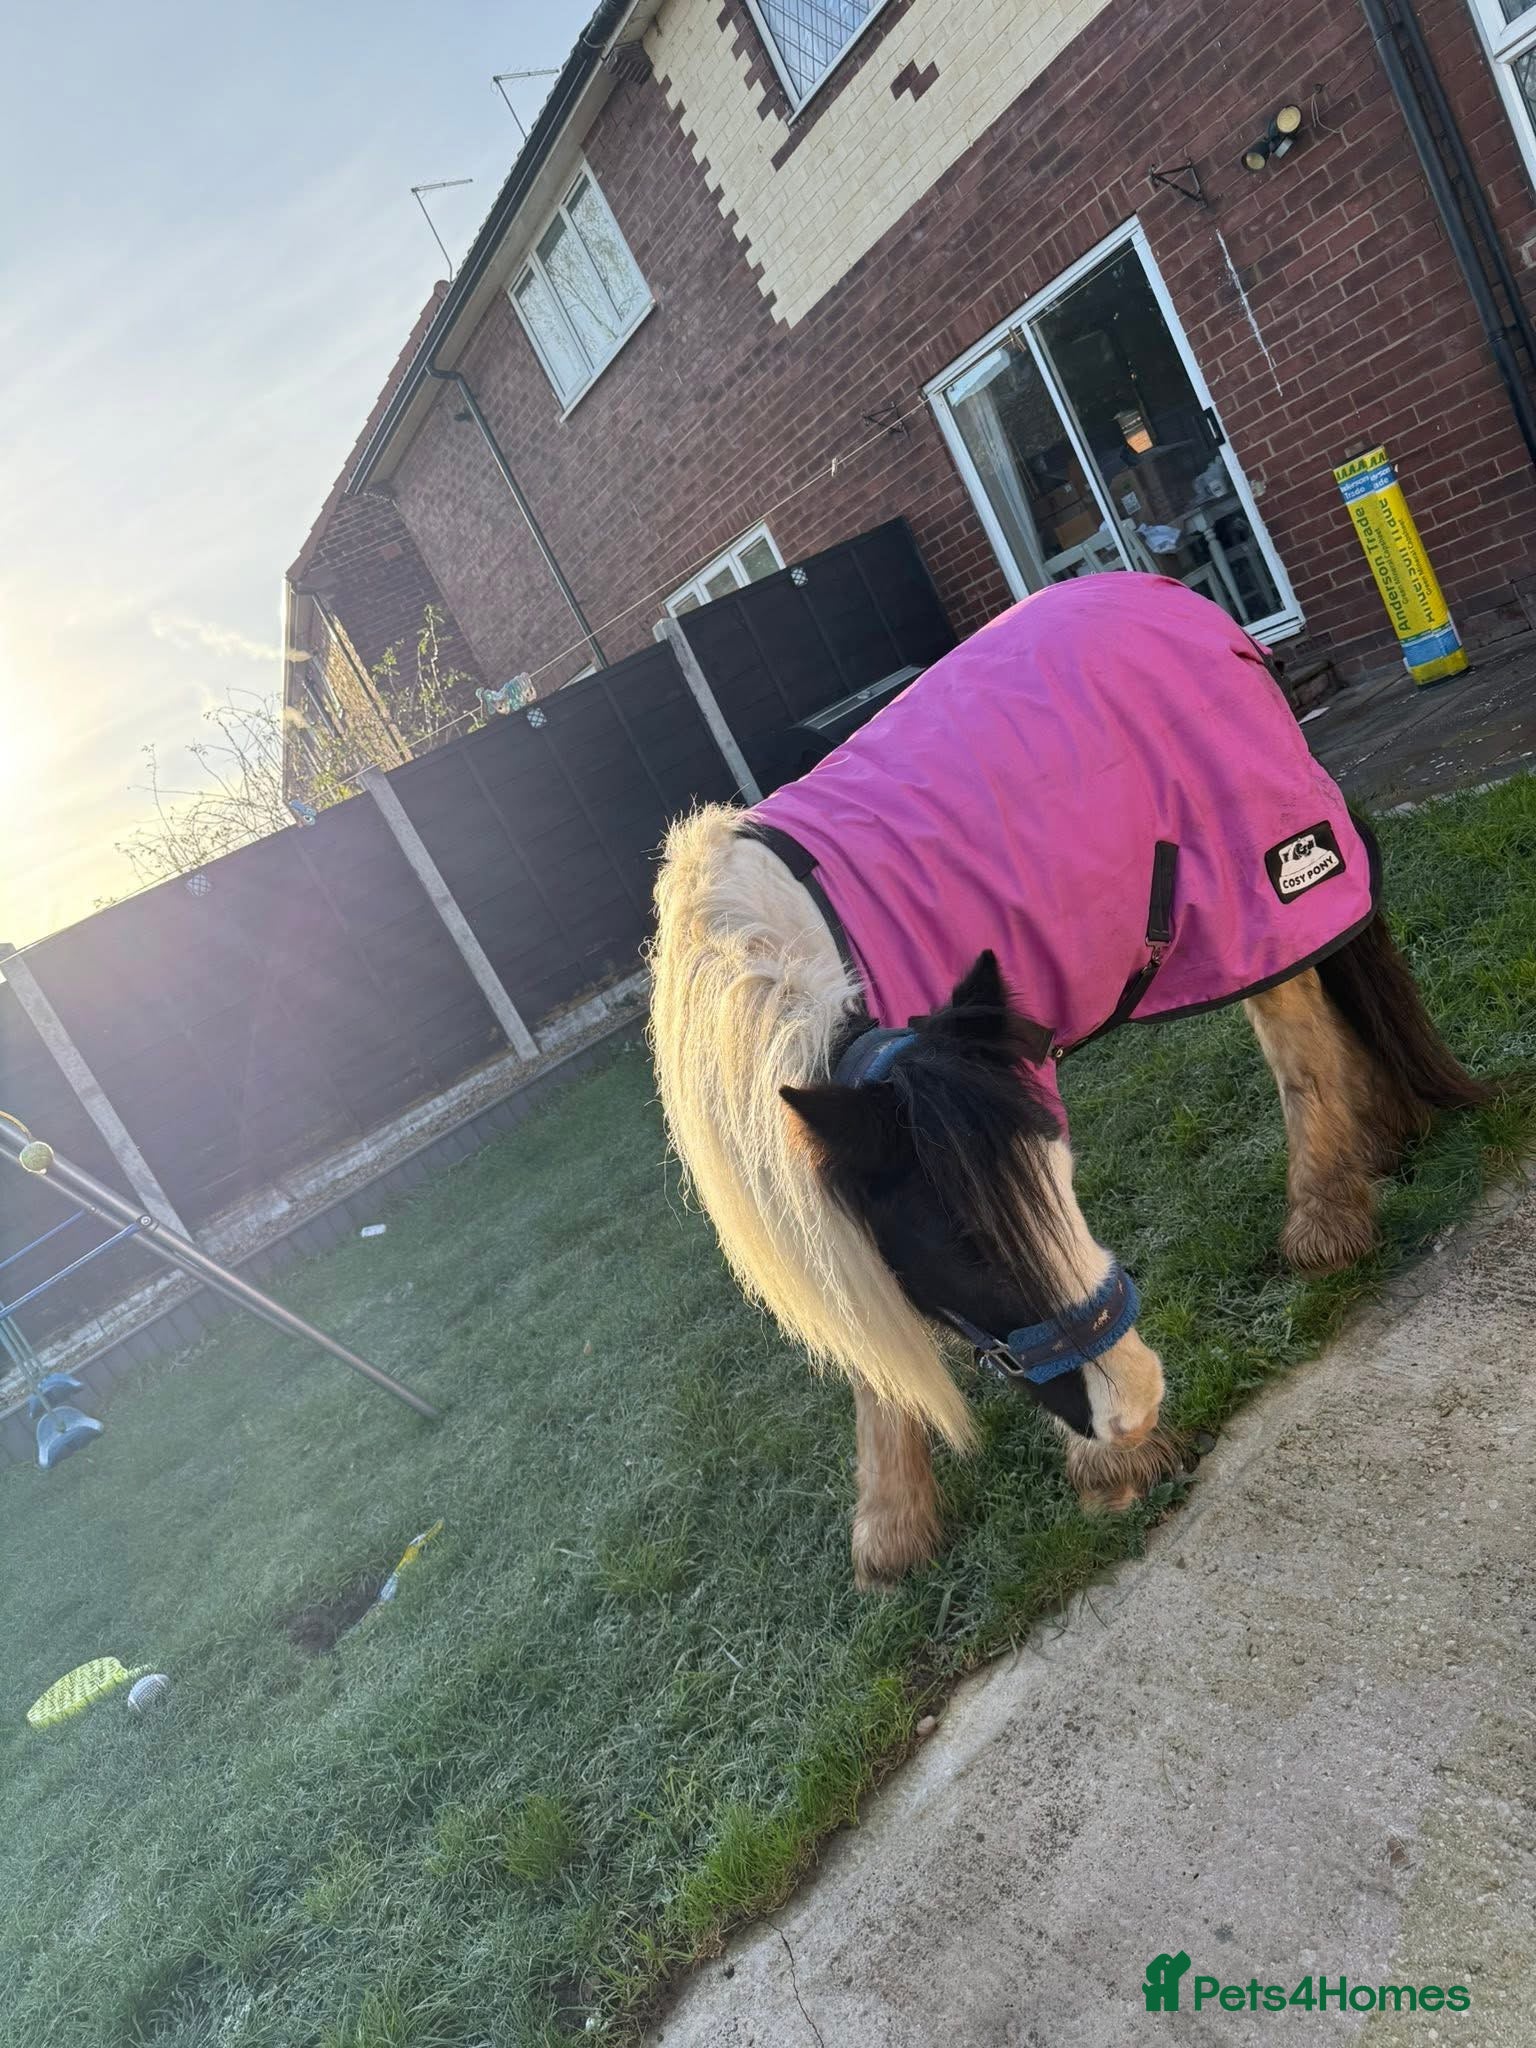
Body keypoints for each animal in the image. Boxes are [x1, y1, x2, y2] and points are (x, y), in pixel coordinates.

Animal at [648, 574, 1484, 1587]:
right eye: (965, 1246)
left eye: (1064, 1185)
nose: (1135, 1405)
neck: (782, 972)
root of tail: (1179, 599)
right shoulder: (811, 1194)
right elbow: (864, 1336)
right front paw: (892, 1529)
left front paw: (1111, 1471)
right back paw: (1385, 1140)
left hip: (1256, 884)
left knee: (1300, 1030)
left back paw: (1325, 1219)